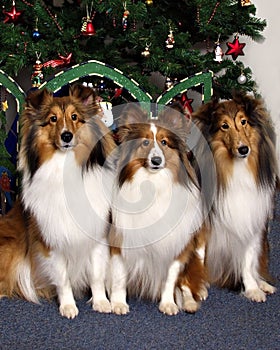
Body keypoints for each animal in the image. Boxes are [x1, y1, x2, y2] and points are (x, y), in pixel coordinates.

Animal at [0, 84, 116, 318]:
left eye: (74, 117)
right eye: (53, 119)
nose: (67, 136)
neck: (66, 166)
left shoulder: (97, 234)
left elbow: (97, 274)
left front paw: (101, 302)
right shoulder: (51, 239)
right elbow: (62, 278)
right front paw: (68, 306)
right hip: (9, 245)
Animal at [108, 103, 209, 314]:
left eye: (164, 142)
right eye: (145, 142)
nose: (156, 161)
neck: (153, 184)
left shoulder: (176, 246)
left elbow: (171, 278)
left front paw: (168, 303)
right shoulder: (121, 239)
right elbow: (119, 275)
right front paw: (118, 303)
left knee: (186, 282)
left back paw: (190, 301)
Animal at [190, 91, 278, 302]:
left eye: (243, 121)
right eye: (224, 126)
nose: (243, 149)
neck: (235, 170)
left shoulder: (251, 222)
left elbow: (247, 260)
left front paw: (253, 288)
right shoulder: (203, 225)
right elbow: (200, 255)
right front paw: (199, 288)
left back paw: (263, 284)